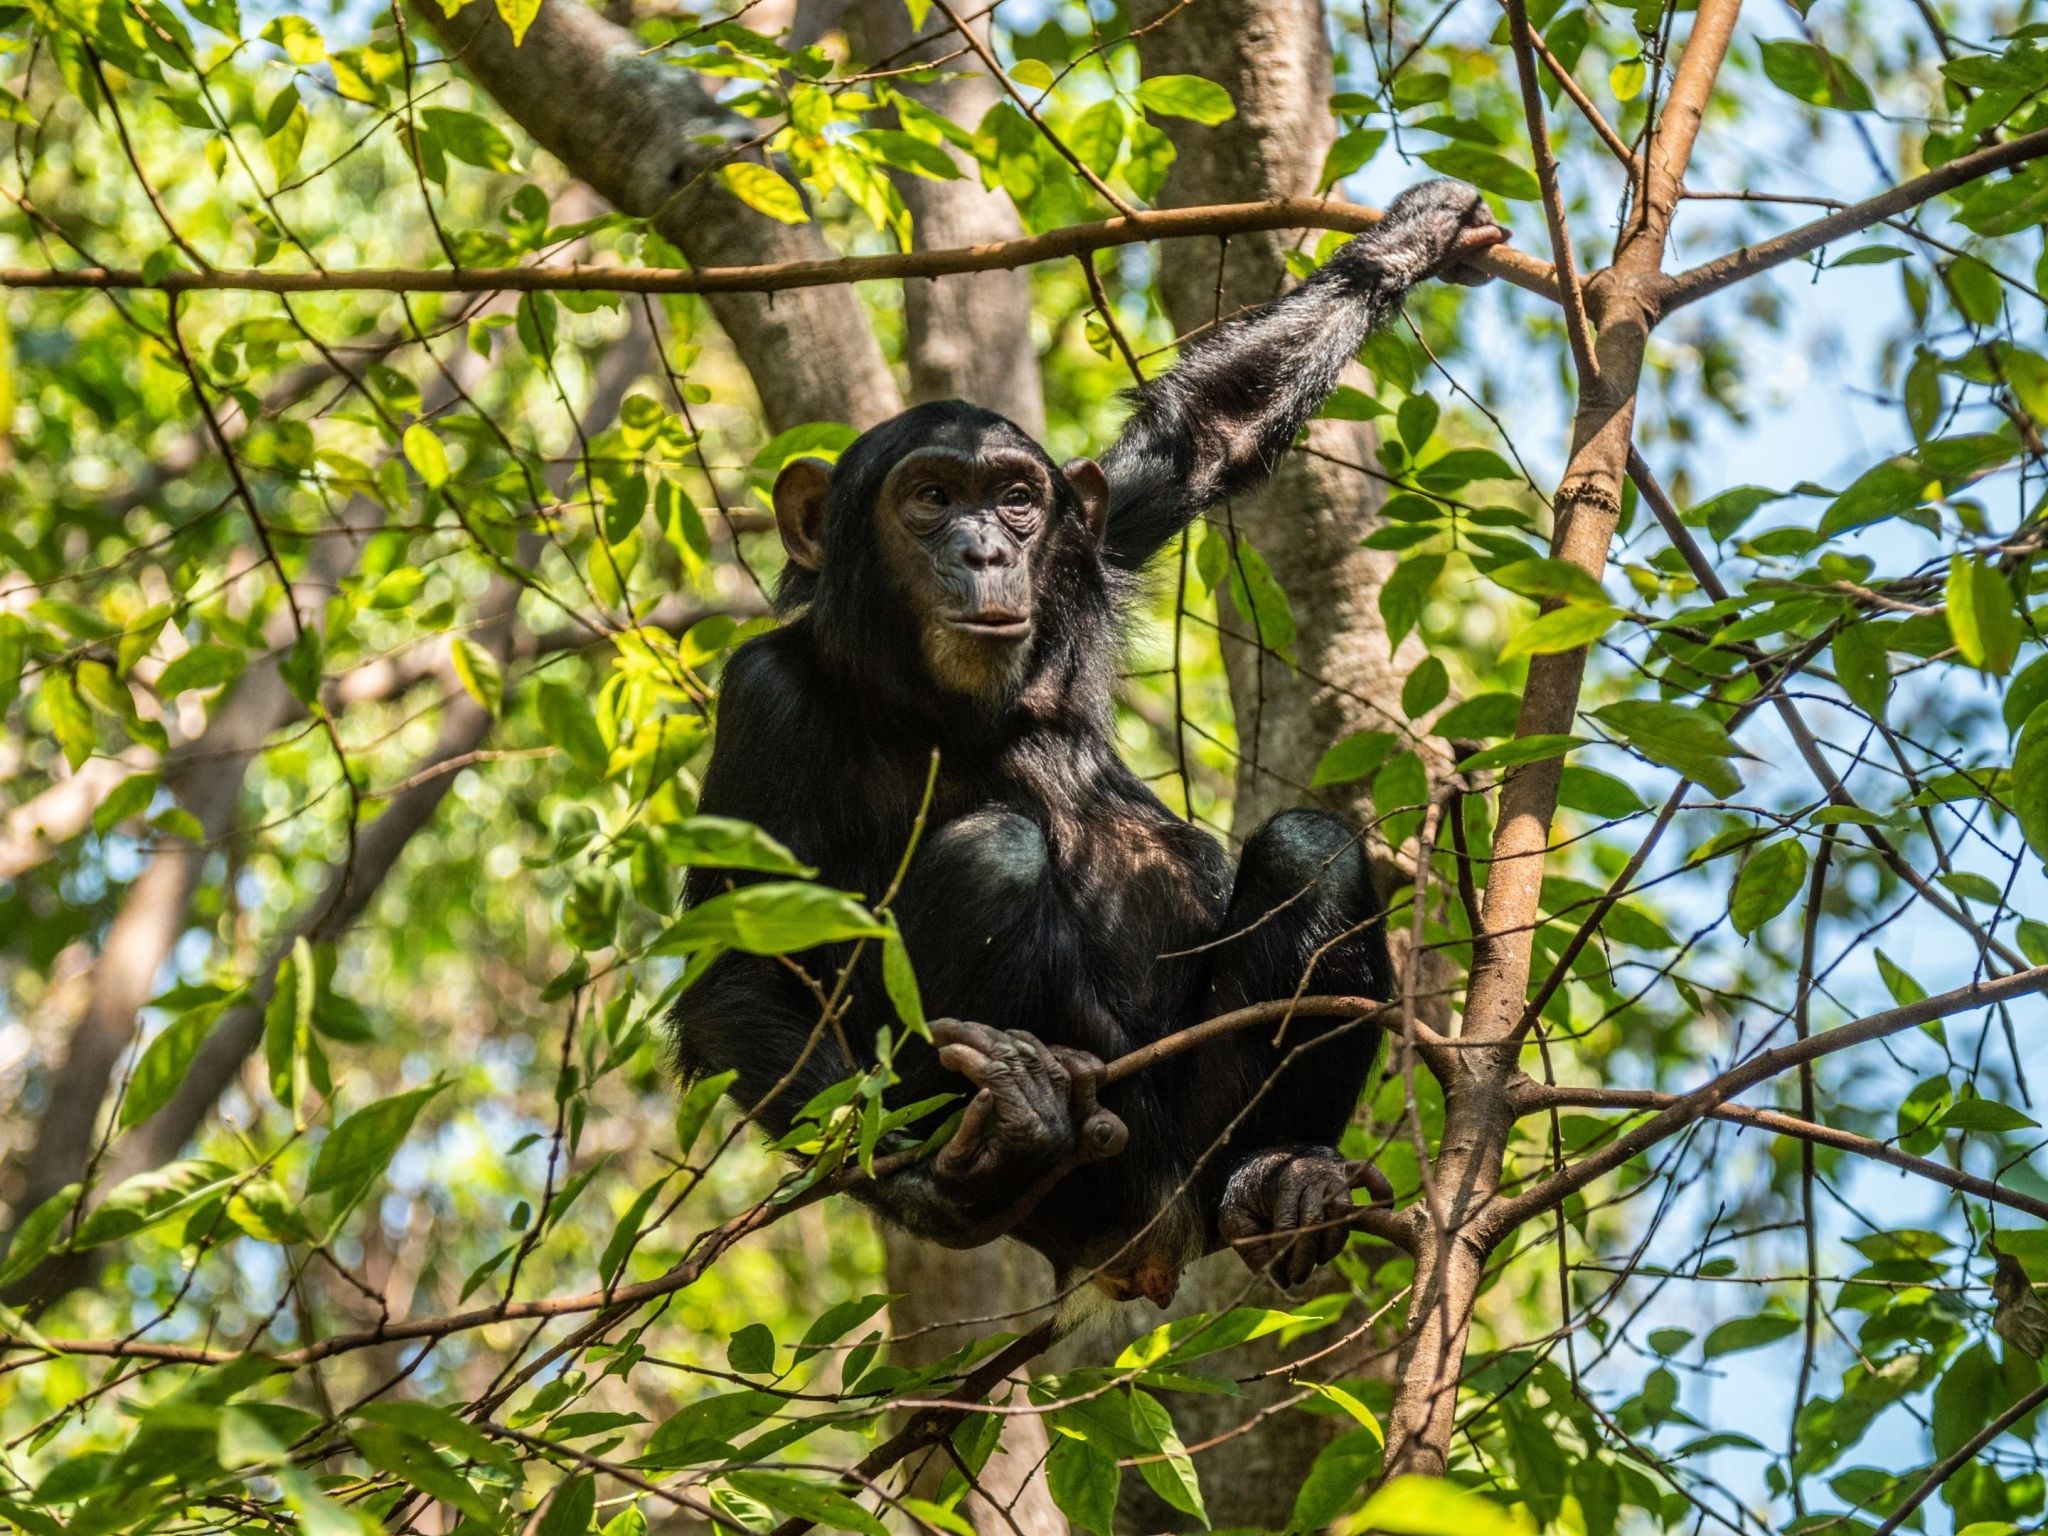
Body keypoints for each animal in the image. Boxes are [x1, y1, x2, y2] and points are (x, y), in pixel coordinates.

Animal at [671, 180, 1507, 1310]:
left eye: (1015, 499)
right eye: (929, 499)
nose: (985, 549)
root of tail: (1150, 1245)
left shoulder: (1095, 542)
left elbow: (1203, 435)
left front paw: (1416, 235)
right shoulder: (762, 702)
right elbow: (737, 968)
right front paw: (922, 1187)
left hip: (1193, 1144)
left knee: (1306, 851)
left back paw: (1282, 1175)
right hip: (1105, 1165)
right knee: (994, 854)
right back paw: (1014, 1142)